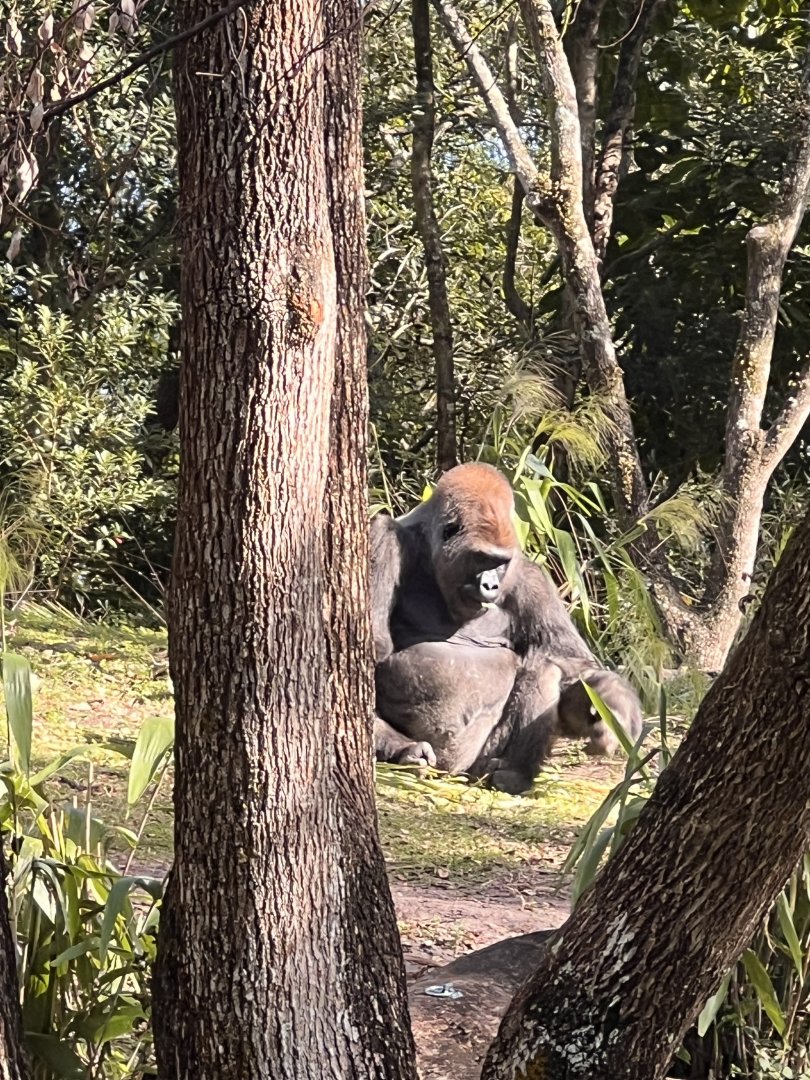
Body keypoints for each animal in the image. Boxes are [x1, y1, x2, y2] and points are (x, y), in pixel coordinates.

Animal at [371, 462, 642, 795]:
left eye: (500, 563)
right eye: (482, 559)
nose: (491, 586)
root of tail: (453, 771)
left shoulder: (531, 578)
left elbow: (574, 664)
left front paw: (612, 708)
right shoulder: (383, 538)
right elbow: (372, 646)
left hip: (479, 762)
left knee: (545, 667)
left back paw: (513, 773)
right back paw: (403, 749)